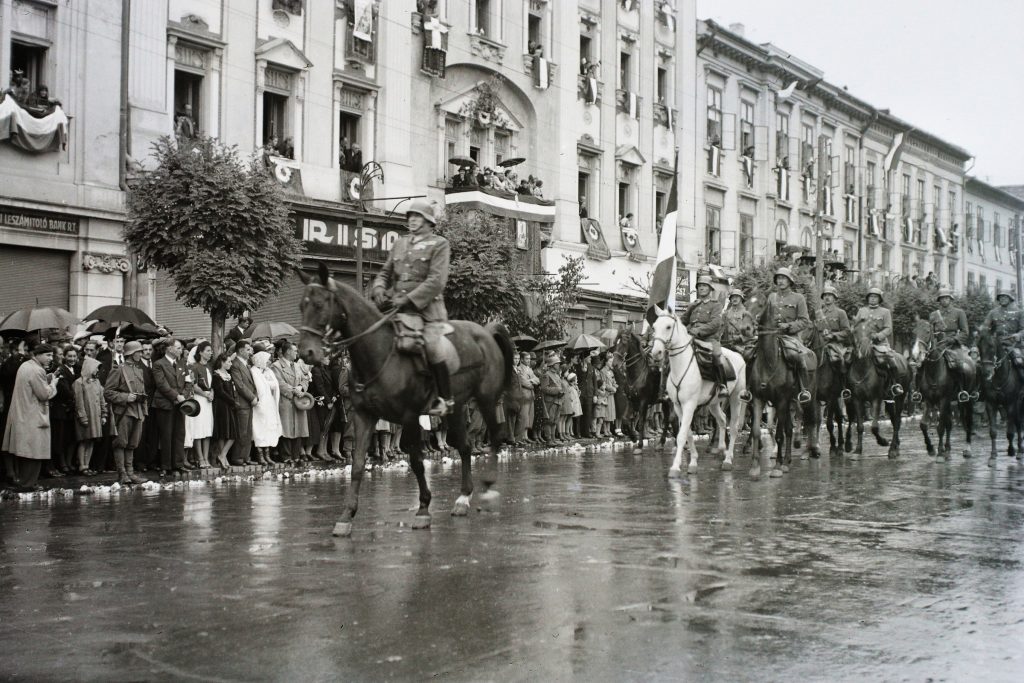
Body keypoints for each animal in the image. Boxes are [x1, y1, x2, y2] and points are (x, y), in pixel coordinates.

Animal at [299, 264, 520, 536]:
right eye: (301, 306)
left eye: (320, 304)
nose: (306, 352)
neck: (380, 353)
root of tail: (485, 332)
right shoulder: (364, 416)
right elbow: (358, 464)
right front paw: (346, 516)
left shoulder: (410, 416)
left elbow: (416, 462)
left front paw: (423, 509)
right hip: (456, 407)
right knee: (466, 446)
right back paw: (462, 499)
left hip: (487, 399)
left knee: (496, 436)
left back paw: (487, 487)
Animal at [651, 309, 749, 475]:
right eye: (654, 326)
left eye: (668, 326)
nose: (656, 352)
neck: (681, 366)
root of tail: (739, 356)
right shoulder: (678, 406)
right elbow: (688, 433)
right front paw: (693, 462)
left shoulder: (689, 405)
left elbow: (682, 434)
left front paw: (675, 467)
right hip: (713, 403)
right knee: (722, 419)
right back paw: (721, 449)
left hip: (736, 397)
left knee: (734, 426)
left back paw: (728, 459)